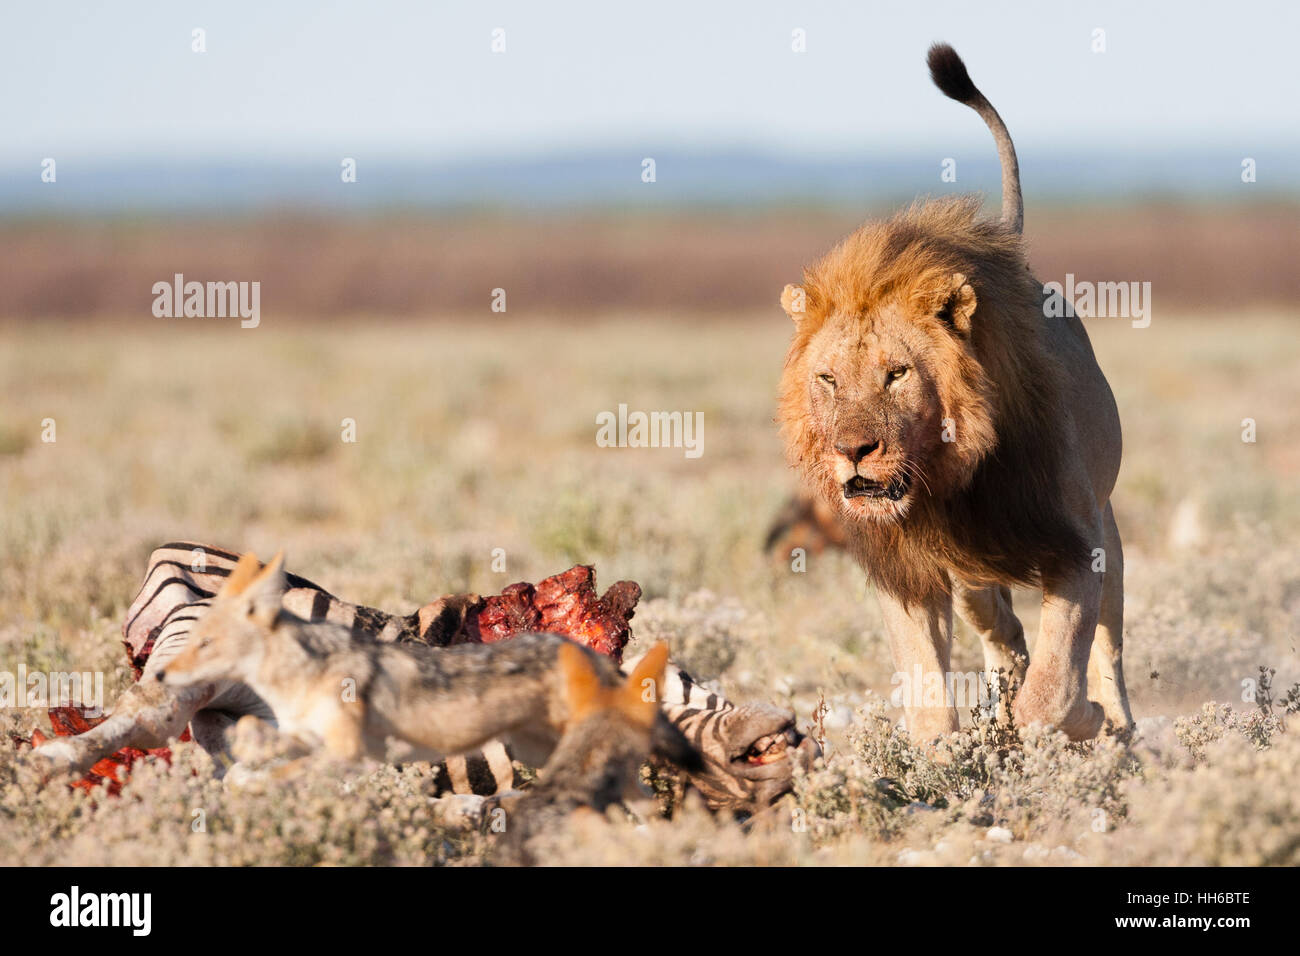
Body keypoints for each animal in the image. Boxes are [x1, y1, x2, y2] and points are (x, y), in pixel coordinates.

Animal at [31, 542, 816, 812]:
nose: (793, 735)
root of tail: (170, 554)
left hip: (216, 688)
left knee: (196, 731)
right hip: (201, 645)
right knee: (152, 713)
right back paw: (50, 762)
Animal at [776, 43, 1132, 743]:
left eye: (897, 374)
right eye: (829, 380)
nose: (852, 451)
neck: (952, 482)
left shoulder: (1080, 546)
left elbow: (1057, 683)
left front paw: (1083, 719)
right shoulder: (908, 571)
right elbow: (927, 696)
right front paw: (952, 751)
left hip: (1103, 527)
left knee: (1108, 646)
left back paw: (1122, 730)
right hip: (970, 574)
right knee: (1002, 624)